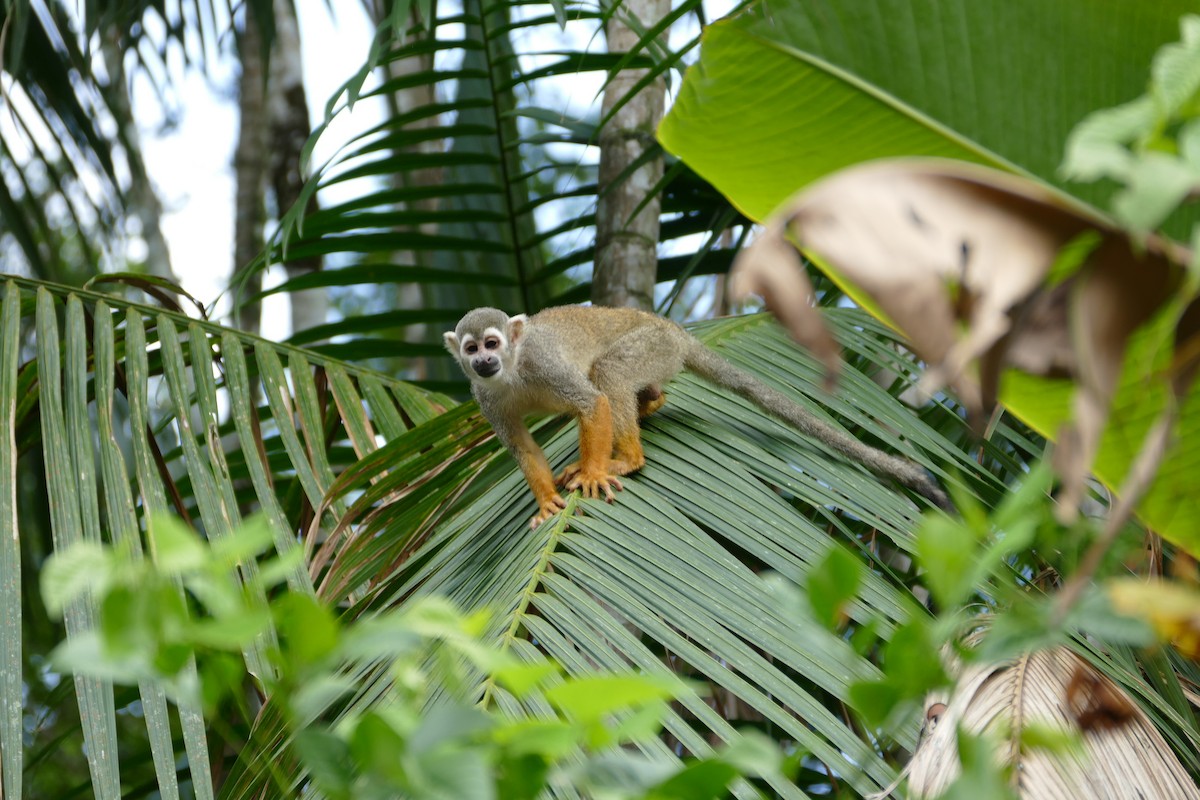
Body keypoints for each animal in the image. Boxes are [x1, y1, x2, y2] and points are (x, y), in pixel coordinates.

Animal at [444, 305, 949, 528]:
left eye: (493, 343)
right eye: (471, 349)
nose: (482, 361)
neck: (512, 372)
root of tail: (676, 332)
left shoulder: (542, 362)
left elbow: (592, 403)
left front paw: (592, 473)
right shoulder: (483, 397)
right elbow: (522, 446)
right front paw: (547, 500)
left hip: (653, 344)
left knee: (609, 373)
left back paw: (627, 458)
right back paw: (650, 404)